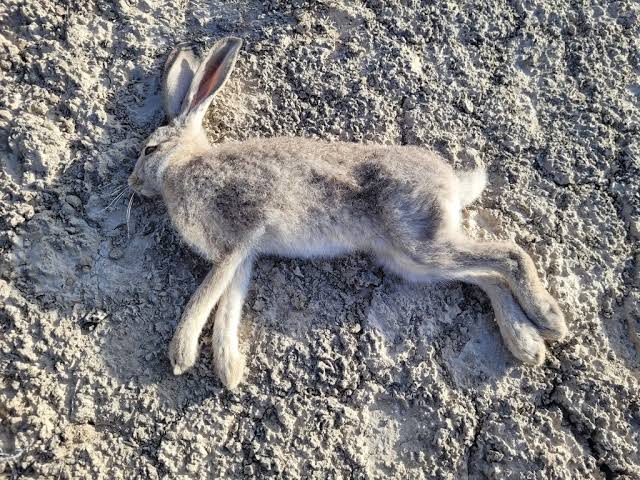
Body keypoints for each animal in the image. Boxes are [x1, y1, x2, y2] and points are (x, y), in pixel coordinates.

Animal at [128, 37, 568, 389]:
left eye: (149, 150)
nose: (132, 182)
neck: (183, 166)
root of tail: (453, 184)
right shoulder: (245, 256)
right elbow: (229, 304)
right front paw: (230, 369)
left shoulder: (239, 238)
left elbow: (207, 294)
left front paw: (181, 353)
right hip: (411, 261)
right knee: (486, 276)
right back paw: (527, 343)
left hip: (420, 242)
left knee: (508, 254)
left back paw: (549, 320)